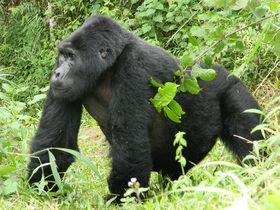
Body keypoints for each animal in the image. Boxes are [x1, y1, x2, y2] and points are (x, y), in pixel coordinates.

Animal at [28, 15, 262, 202]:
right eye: (62, 56)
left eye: (71, 57)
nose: (57, 73)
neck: (108, 66)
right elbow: (57, 145)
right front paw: (42, 190)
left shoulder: (136, 67)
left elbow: (130, 145)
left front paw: (120, 200)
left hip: (232, 87)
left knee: (250, 136)